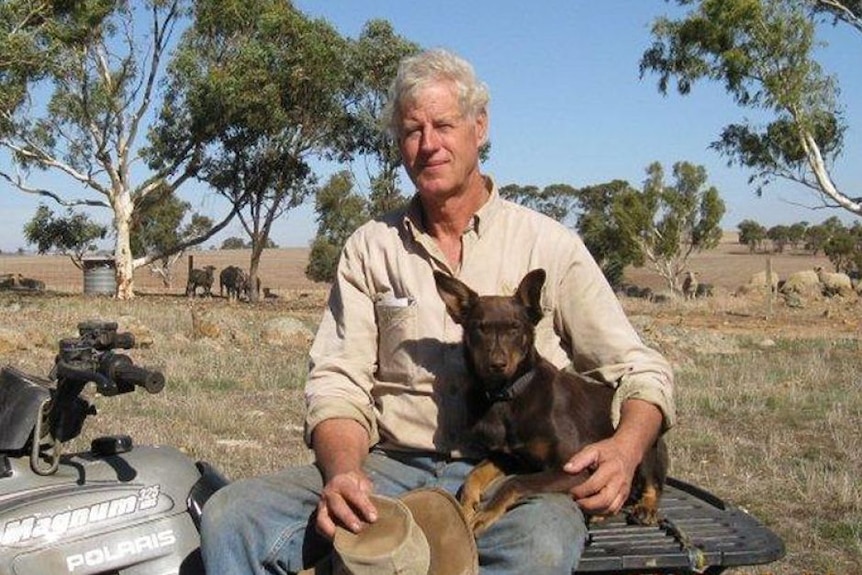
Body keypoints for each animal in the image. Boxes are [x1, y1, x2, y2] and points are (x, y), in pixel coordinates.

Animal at [436, 268, 672, 536]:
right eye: (479, 328)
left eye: (515, 328)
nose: (497, 364)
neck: (508, 395)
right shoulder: (508, 457)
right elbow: (474, 475)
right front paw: (465, 506)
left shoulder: (575, 468)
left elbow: (515, 483)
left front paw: (485, 513)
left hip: (646, 447)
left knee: (651, 484)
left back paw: (645, 509)